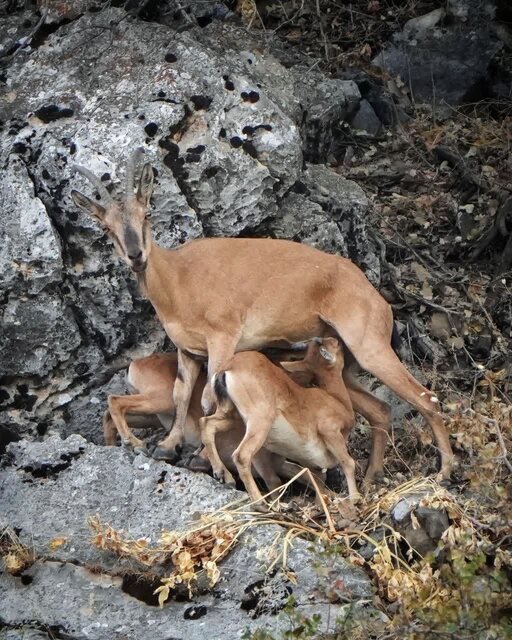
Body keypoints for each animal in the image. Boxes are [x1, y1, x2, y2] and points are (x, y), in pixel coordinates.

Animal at [71, 149, 452, 480]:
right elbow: (182, 395)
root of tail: (377, 300)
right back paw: (373, 475)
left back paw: (445, 471)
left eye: (147, 214)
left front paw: (203, 460)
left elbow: (207, 400)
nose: (136, 255)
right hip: (345, 365)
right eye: (106, 227)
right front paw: (167, 447)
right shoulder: (188, 351)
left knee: (426, 399)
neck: (179, 280)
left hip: (370, 347)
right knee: (380, 410)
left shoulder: (223, 339)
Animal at [199, 336, 356, 510]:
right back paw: (261, 503)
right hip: (259, 421)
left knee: (207, 424)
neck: (336, 399)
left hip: (232, 416)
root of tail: (228, 368)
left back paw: (223, 475)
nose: (338, 339)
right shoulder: (330, 430)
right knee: (241, 456)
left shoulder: (311, 462)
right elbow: (348, 463)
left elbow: (317, 480)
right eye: (335, 344)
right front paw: (356, 498)